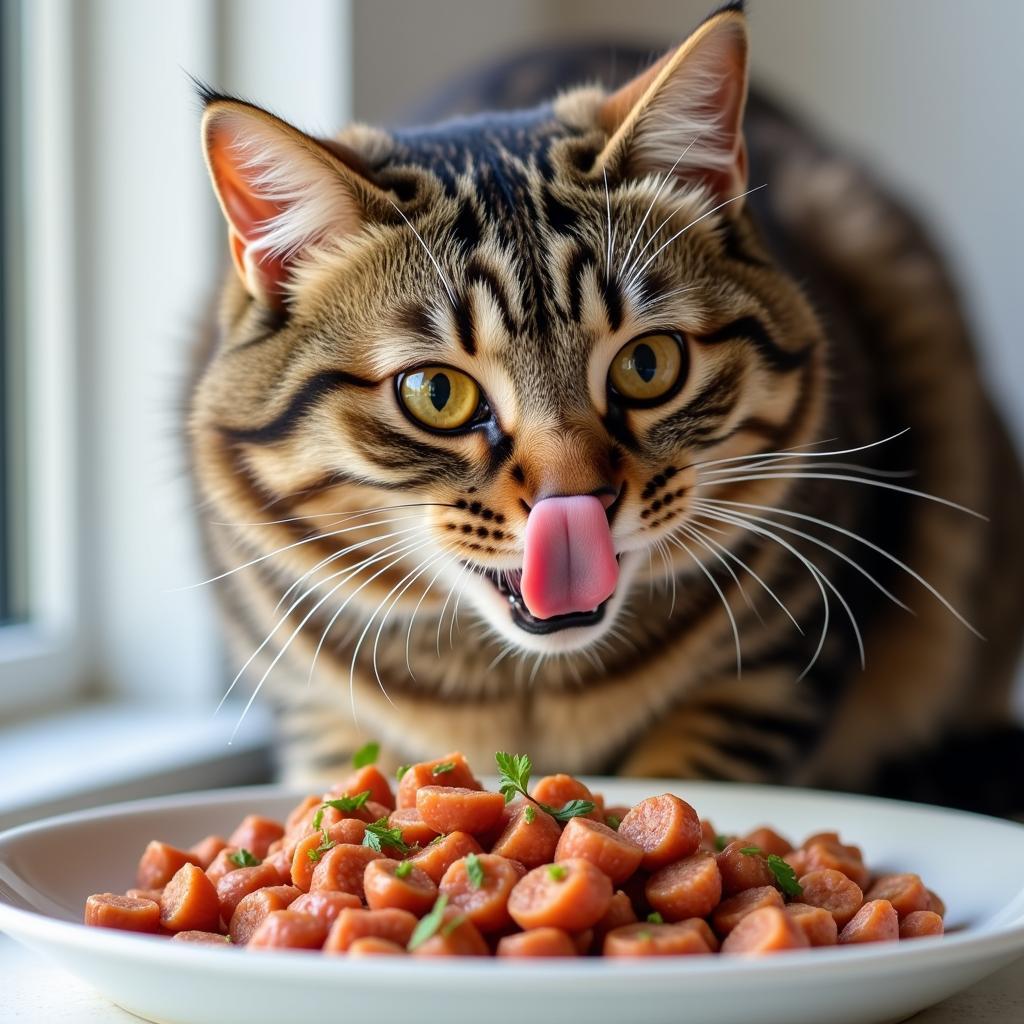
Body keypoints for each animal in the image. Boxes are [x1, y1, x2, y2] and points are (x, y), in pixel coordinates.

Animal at [186, 4, 1024, 811]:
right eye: (436, 394)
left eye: (647, 365)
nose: (577, 499)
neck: (527, 684)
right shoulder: (315, 710)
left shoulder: (775, 668)